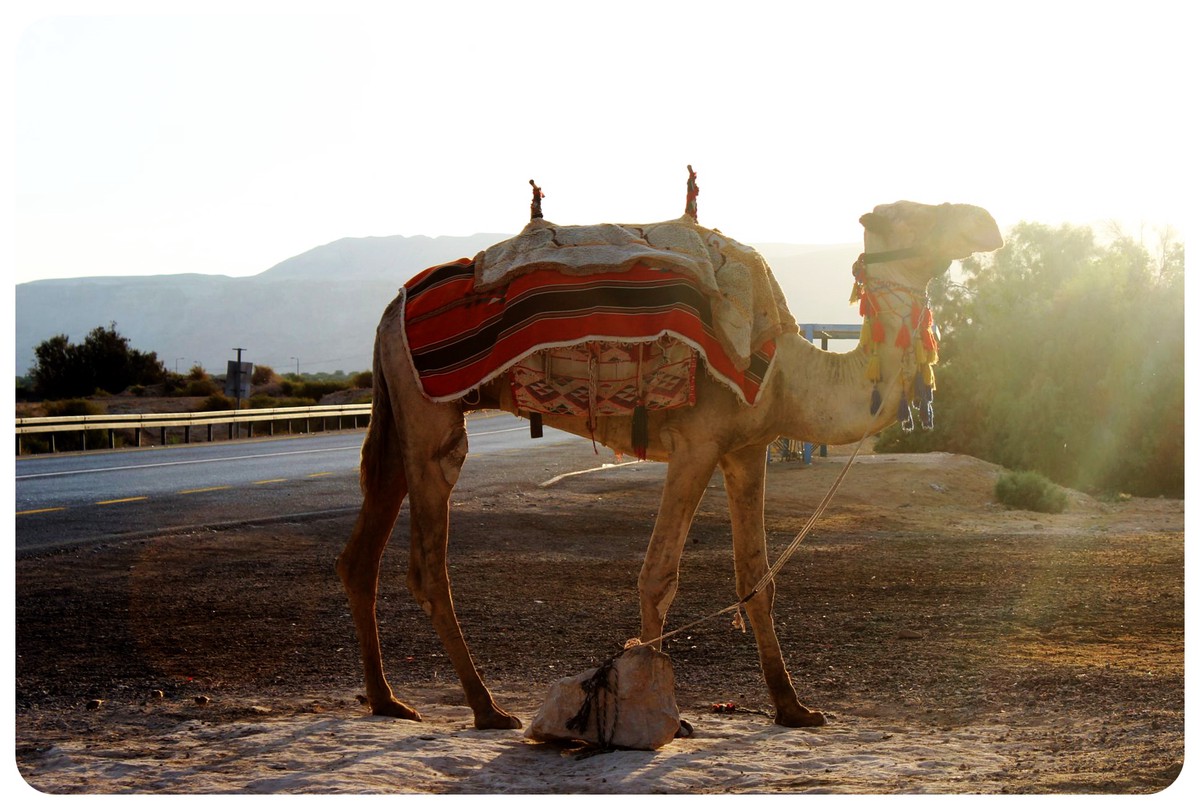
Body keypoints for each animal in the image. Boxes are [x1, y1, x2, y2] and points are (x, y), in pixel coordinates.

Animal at [337, 197, 1003, 731]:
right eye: (912, 213)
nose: (989, 222)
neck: (788, 374)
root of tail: (390, 310)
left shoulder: (746, 448)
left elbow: (757, 578)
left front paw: (794, 708)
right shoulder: (697, 443)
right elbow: (658, 574)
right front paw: (658, 713)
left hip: (398, 413)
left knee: (360, 554)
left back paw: (387, 700)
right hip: (431, 412)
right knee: (427, 563)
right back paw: (486, 708)